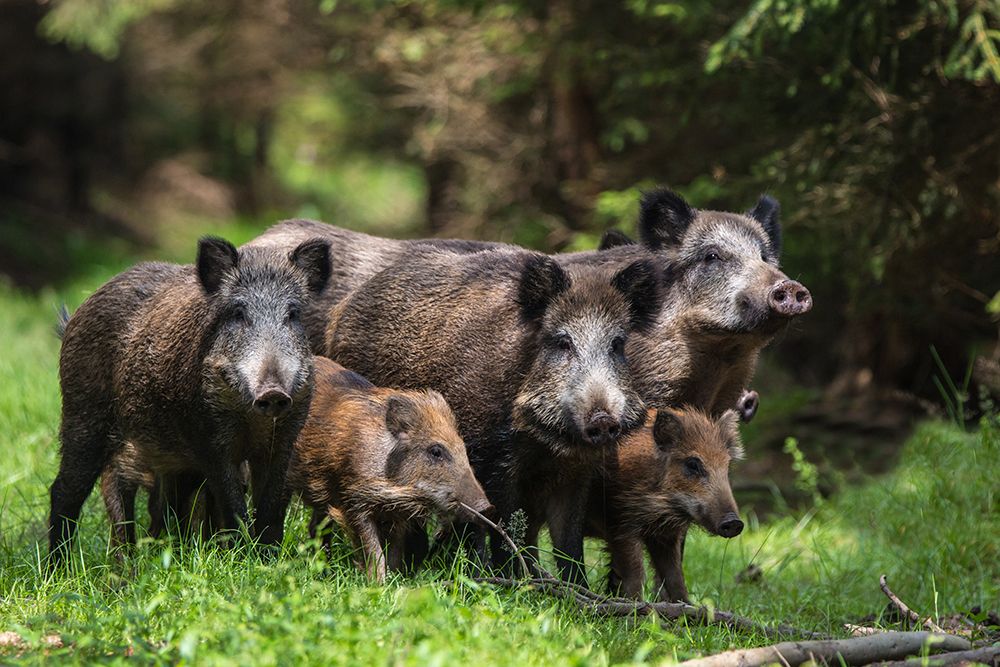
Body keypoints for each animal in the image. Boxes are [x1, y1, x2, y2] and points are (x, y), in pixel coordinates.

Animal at [48, 236, 331, 563]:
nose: (273, 392)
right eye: (238, 313)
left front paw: (268, 561)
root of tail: (77, 314)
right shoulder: (209, 440)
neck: (250, 420)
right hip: (82, 413)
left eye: (293, 314)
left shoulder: (284, 438)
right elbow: (233, 505)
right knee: (64, 491)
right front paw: (243, 559)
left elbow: (271, 509)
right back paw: (59, 566)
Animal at [284, 356, 492, 582]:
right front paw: (378, 582)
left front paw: (394, 582)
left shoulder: (400, 515)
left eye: (463, 448)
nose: (487, 507)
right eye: (436, 451)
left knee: (316, 528)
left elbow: (395, 552)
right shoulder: (353, 502)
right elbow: (374, 551)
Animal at [325, 247, 661, 584]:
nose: (603, 420)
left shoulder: (577, 473)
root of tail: (344, 308)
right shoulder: (493, 460)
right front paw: (511, 579)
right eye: (562, 341)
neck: (543, 445)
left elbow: (569, 542)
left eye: (617, 344)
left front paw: (573, 589)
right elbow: (503, 525)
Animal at [586, 407, 744, 602]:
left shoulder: (665, 536)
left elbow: (674, 576)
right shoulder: (620, 524)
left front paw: (687, 606)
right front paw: (637, 605)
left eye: (727, 467)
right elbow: (635, 573)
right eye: (693, 464)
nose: (735, 522)